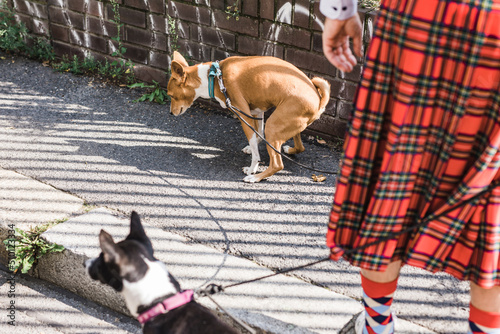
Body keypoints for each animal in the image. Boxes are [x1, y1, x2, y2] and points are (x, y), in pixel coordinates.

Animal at [168, 51, 330, 183]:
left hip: (273, 126)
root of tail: (318, 101)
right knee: (300, 147)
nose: (170, 113)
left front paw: (252, 168)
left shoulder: (243, 114)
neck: (214, 77)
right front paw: (251, 148)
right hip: (288, 125)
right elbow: (258, 134)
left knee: (277, 164)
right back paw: (289, 150)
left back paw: (256, 177)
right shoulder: (257, 112)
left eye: (171, 95)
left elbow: (255, 148)